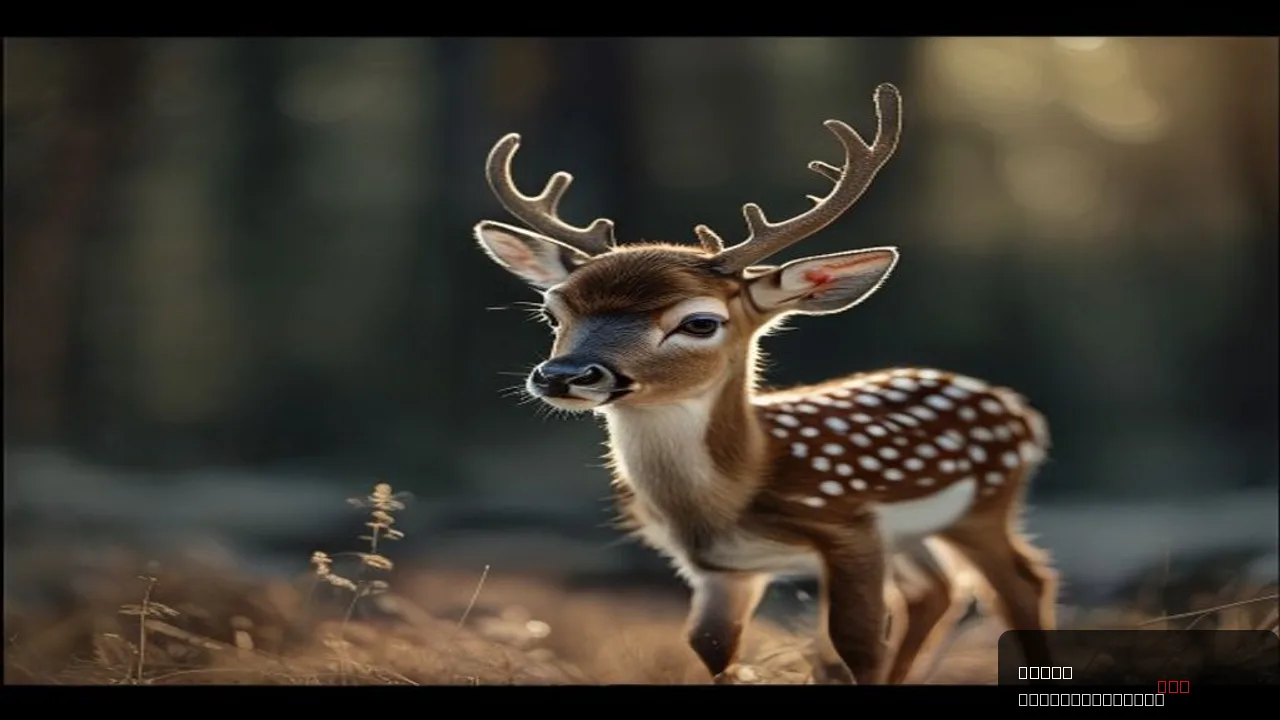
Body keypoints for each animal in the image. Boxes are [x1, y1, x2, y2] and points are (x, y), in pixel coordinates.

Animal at [472, 83, 1058, 685]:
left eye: (699, 322)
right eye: (551, 311)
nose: (565, 375)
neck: (733, 494)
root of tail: (1024, 413)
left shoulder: (848, 528)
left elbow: (857, 646)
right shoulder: (722, 570)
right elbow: (711, 646)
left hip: (986, 503)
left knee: (1020, 584)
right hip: (916, 533)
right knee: (934, 592)